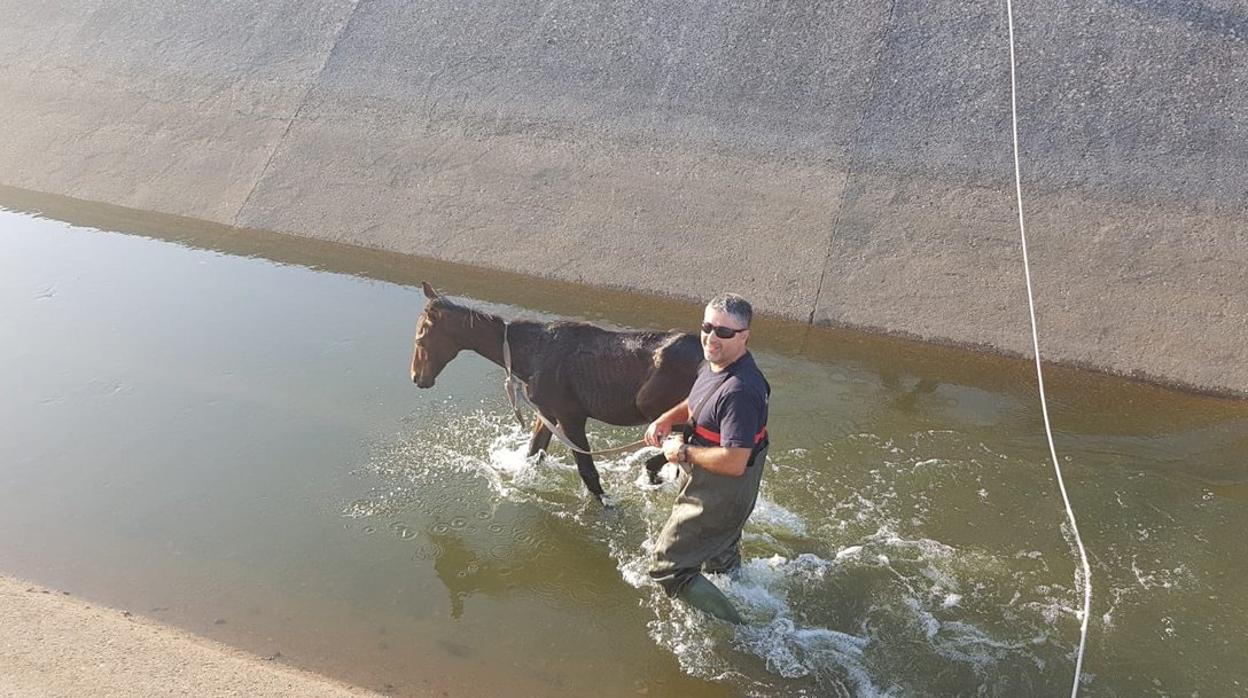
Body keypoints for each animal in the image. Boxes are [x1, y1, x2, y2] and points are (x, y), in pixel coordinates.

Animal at [409, 282, 703, 501]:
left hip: (657, 409)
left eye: (420, 337)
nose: (416, 377)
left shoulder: (570, 417)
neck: (528, 358)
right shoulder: (546, 414)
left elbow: (588, 473)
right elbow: (533, 454)